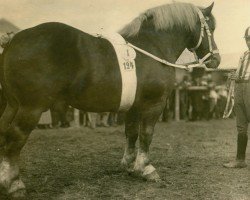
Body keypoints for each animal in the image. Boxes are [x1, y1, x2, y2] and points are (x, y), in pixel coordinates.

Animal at [0, 1, 220, 198]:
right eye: (211, 28)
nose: (216, 60)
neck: (153, 46)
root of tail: (13, 40)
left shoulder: (134, 107)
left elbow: (131, 133)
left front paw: (129, 165)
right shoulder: (153, 105)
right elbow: (146, 134)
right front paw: (146, 168)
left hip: (12, 105)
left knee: (3, 132)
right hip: (31, 108)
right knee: (15, 137)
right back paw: (14, 184)